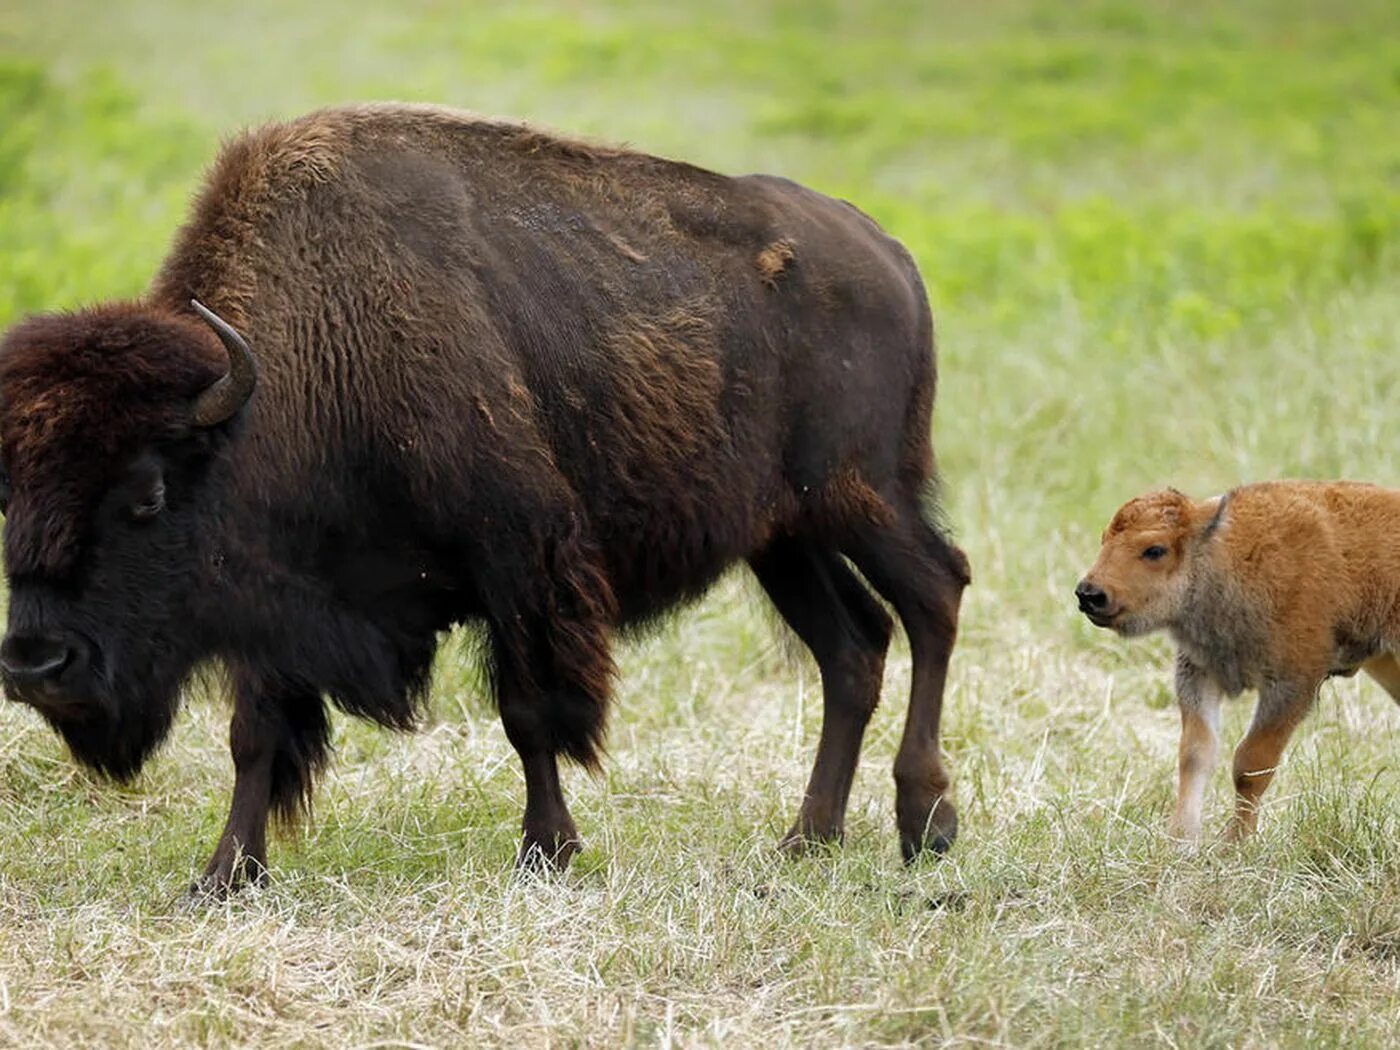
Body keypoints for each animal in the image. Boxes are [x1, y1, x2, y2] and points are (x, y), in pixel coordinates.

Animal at [1075, 487, 1394, 845]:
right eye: (1104, 539)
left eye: (1154, 549)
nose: (1089, 594)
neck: (1224, 554)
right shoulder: (1200, 673)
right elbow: (1195, 753)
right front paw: (1180, 840)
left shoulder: (1290, 686)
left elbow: (1251, 764)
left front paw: (1234, 844)